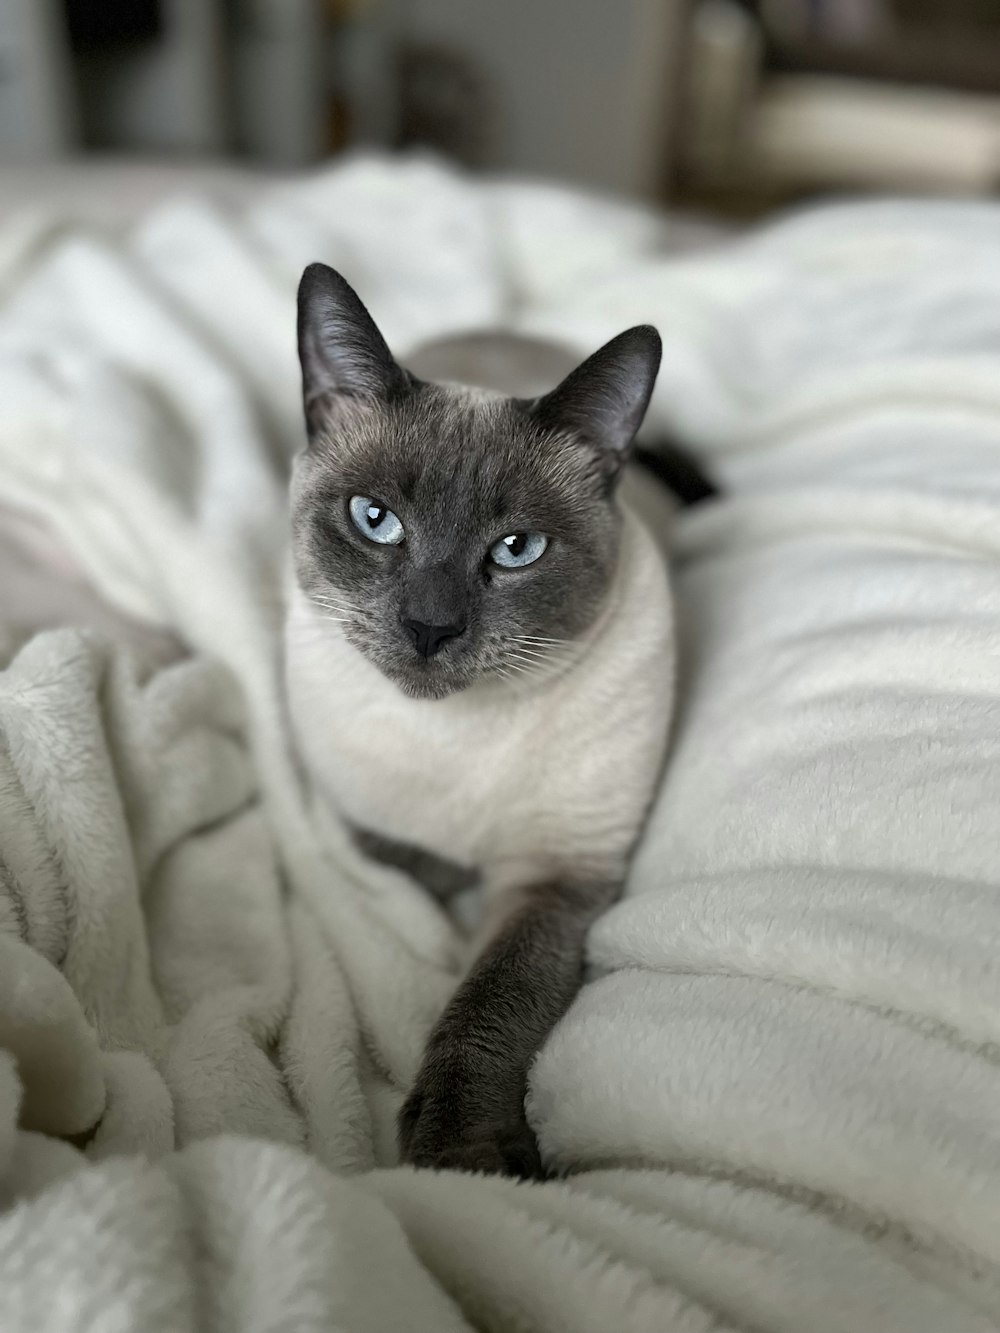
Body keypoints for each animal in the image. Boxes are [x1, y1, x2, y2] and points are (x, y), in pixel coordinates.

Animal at [285, 259, 698, 1178]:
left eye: (516, 551)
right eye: (375, 521)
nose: (430, 628)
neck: (458, 734)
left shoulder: (556, 874)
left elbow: (489, 998)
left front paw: (464, 1154)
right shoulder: (361, 824)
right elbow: (416, 881)